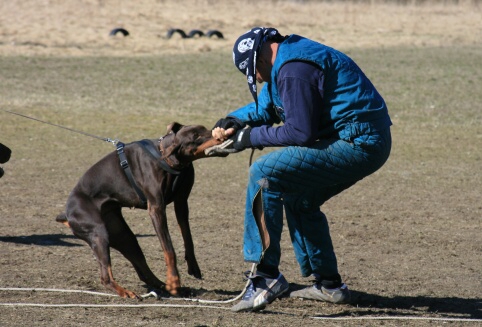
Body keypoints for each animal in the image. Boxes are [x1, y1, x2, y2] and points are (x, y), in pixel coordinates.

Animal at [56, 123, 222, 300]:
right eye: (196, 137)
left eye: (204, 128)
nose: (220, 134)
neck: (167, 159)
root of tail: (67, 213)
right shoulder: (156, 207)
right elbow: (169, 249)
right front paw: (174, 281)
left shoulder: (182, 203)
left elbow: (188, 238)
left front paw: (192, 267)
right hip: (98, 233)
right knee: (105, 277)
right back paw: (128, 291)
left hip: (123, 235)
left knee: (142, 270)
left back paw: (165, 287)